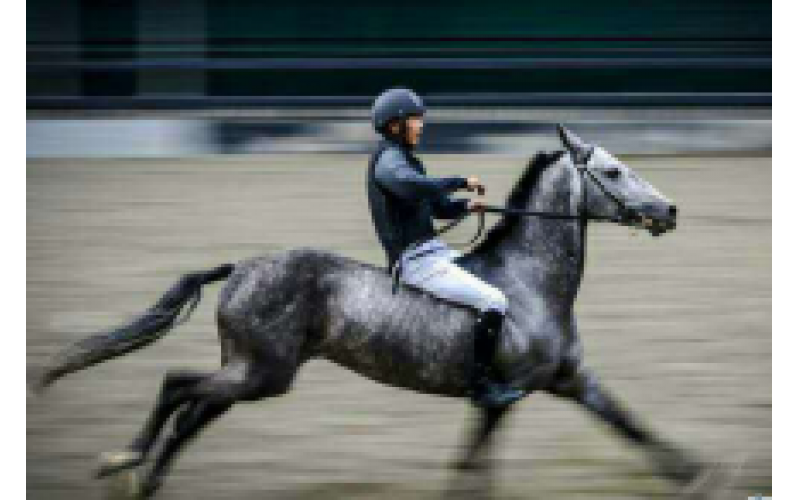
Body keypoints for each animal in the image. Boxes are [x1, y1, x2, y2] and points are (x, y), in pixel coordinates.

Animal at [32, 126, 708, 496]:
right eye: (614, 171)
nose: (670, 211)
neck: (527, 284)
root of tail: (243, 267)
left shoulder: (570, 381)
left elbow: (631, 427)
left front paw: (698, 475)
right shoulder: (502, 395)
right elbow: (472, 466)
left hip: (251, 373)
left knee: (191, 414)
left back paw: (143, 480)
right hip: (262, 374)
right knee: (177, 387)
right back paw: (124, 462)